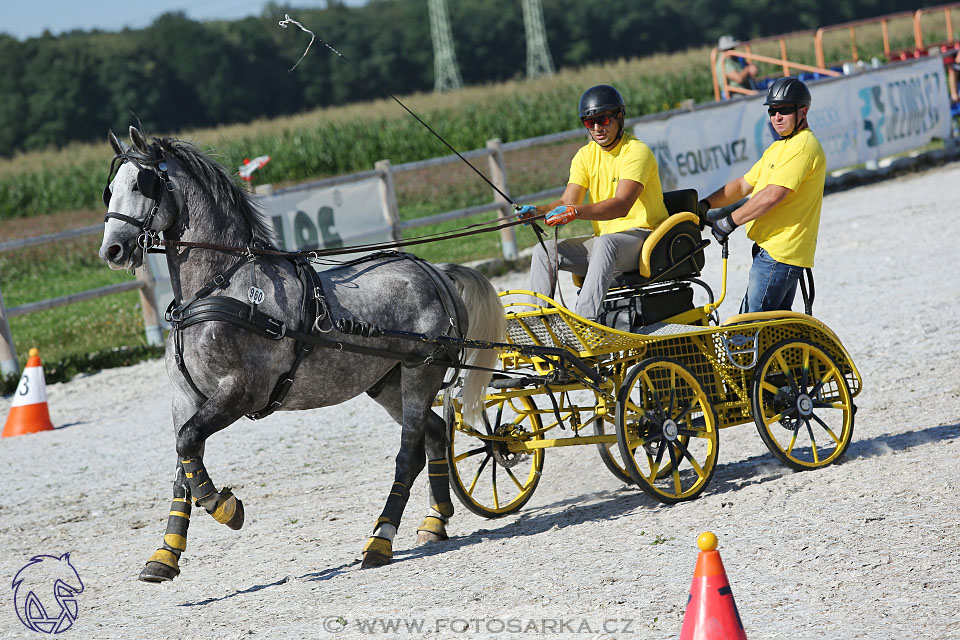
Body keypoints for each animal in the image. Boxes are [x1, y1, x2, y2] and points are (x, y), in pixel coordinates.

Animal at [100, 127, 506, 584]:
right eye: (110, 190)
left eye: (142, 185)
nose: (112, 251)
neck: (218, 288)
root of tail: (435, 271)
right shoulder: (185, 398)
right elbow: (183, 462)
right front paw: (165, 555)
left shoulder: (242, 392)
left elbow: (188, 444)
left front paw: (225, 507)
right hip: (388, 383)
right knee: (434, 434)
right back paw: (435, 522)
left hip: (422, 372)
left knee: (408, 454)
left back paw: (380, 540)